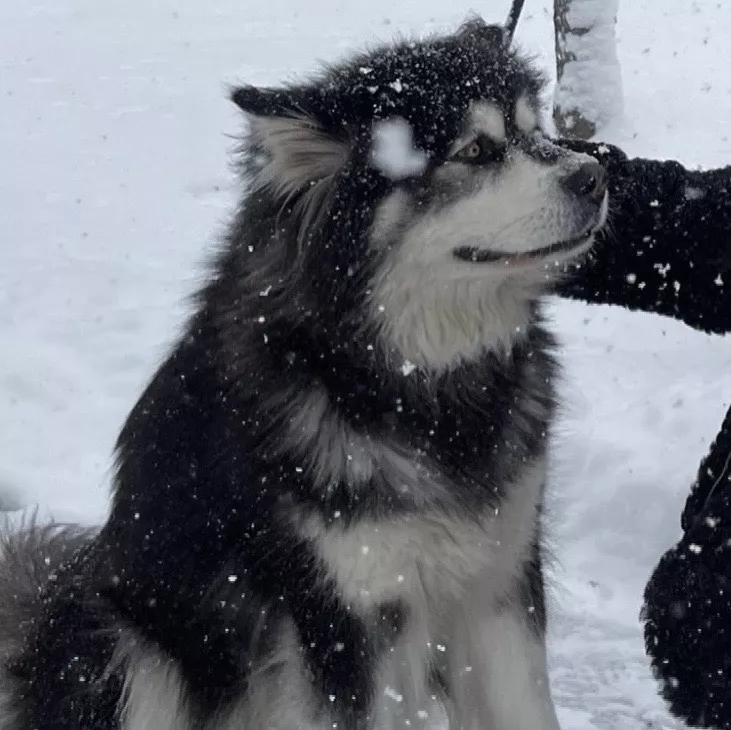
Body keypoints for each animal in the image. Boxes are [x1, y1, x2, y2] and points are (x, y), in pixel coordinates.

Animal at [0, 17, 608, 728]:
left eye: (538, 130)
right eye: (478, 150)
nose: (596, 174)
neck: (416, 383)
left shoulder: (499, 588)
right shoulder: (342, 615)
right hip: (129, 643)